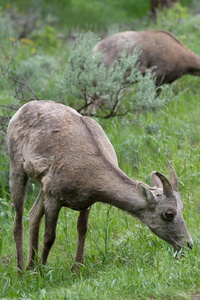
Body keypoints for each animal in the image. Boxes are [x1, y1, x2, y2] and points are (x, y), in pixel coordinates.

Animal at [7, 101, 192, 272]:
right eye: (168, 214)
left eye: (182, 208)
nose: (188, 245)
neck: (89, 167)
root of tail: (21, 109)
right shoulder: (54, 198)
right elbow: (50, 236)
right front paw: (43, 272)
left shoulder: (85, 202)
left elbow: (82, 229)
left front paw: (76, 269)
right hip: (17, 170)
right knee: (18, 222)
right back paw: (21, 271)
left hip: (41, 188)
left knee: (33, 215)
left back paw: (30, 267)